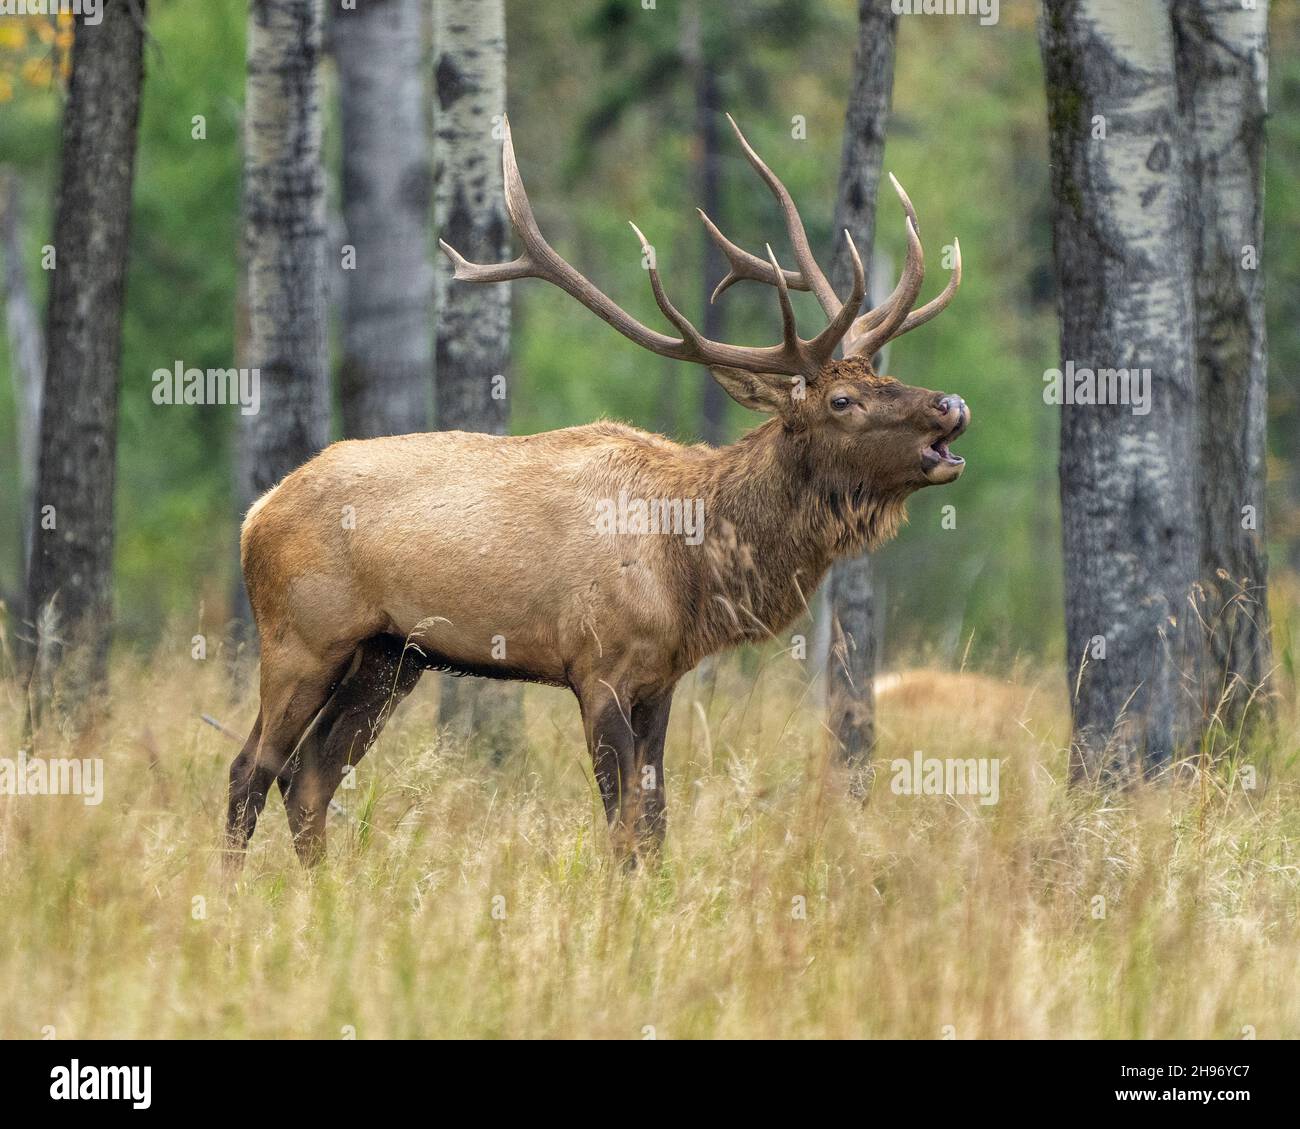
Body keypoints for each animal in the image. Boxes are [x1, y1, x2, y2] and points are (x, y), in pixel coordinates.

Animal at [224, 115, 968, 871]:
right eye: (843, 400)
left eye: (882, 375)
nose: (951, 404)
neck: (689, 561)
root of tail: (256, 514)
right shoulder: (599, 664)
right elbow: (622, 825)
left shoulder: (661, 678)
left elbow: (657, 821)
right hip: (302, 636)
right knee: (252, 766)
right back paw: (235, 887)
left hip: (389, 654)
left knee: (310, 775)